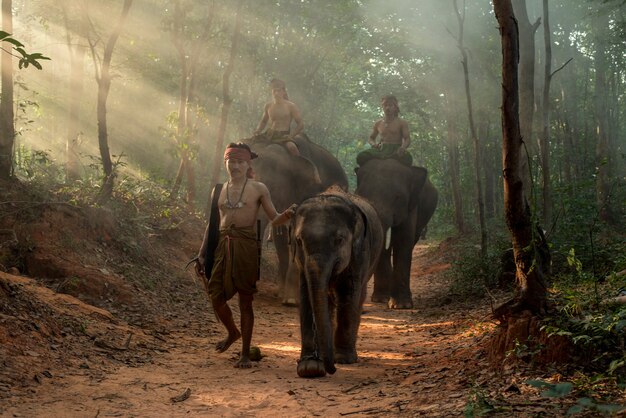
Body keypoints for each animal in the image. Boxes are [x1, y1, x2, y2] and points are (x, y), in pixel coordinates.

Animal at [290, 188, 382, 378]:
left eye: (339, 240)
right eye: (299, 241)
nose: (331, 369)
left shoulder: (359, 253)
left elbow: (348, 292)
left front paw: (343, 359)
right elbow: (307, 294)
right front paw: (309, 367)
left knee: (358, 297)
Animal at [354, 158, 436, 308]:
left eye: (397, 197)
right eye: (361, 194)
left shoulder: (411, 208)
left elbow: (404, 241)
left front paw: (402, 305)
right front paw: (381, 299)